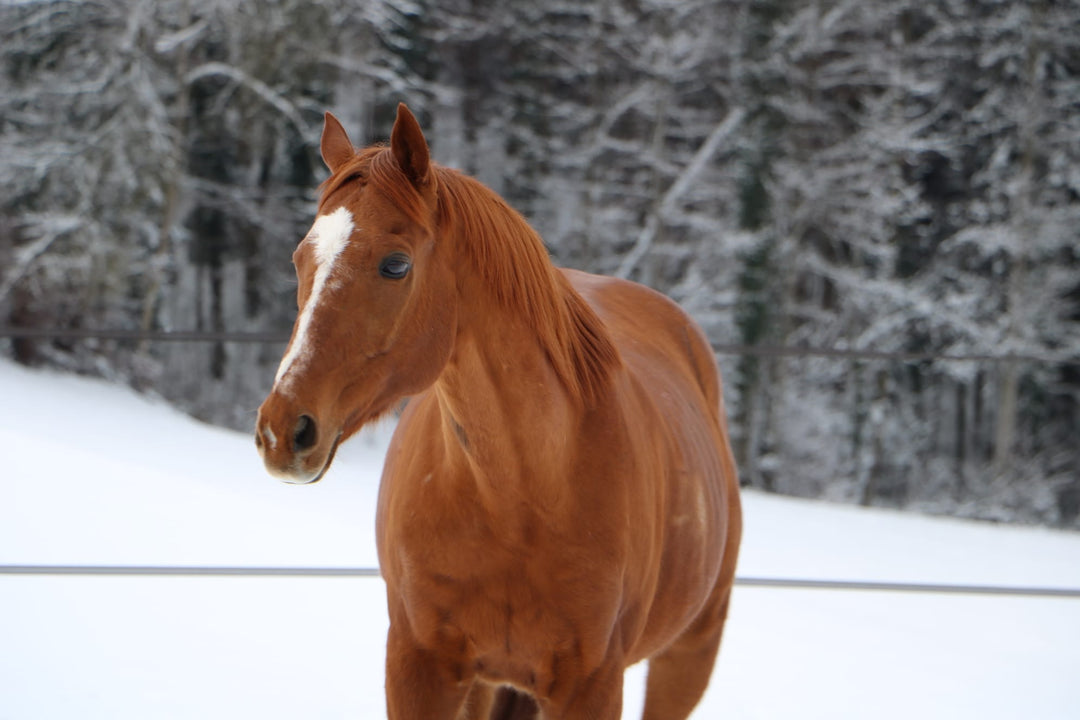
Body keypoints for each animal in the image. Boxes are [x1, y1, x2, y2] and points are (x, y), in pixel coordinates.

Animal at [254, 102, 743, 720]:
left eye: (395, 265)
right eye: (300, 259)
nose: (282, 430)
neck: (518, 498)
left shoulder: (593, 685)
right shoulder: (417, 665)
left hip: (689, 653)